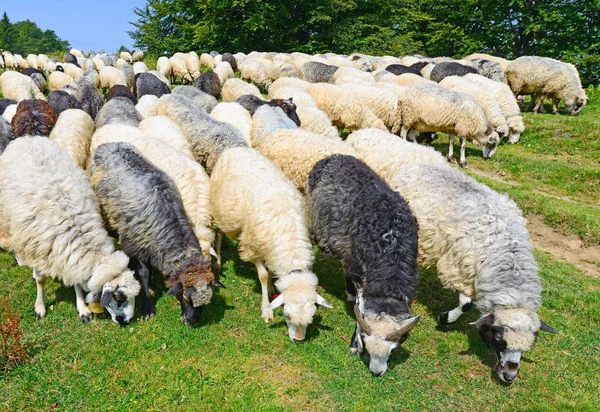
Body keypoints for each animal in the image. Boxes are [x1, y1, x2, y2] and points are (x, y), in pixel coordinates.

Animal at [0, 138, 140, 326]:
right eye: (119, 297)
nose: (127, 321)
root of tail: (27, 138)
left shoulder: (70, 257)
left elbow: (77, 282)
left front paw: (83, 309)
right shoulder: (38, 250)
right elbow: (40, 280)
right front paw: (40, 307)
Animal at [210, 146, 332, 342]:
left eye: (312, 315)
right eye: (287, 314)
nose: (298, 340)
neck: (290, 243)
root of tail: (234, 149)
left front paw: (272, 287)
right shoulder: (252, 246)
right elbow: (263, 275)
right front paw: (266, 308)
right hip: (223, 212)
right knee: (219, 233)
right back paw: (218, 261)